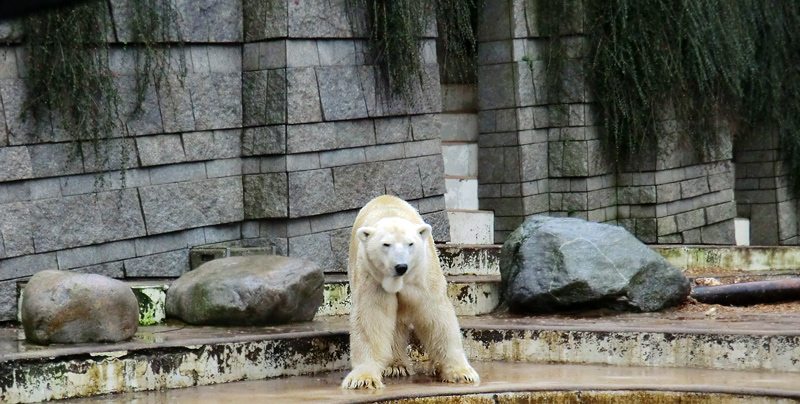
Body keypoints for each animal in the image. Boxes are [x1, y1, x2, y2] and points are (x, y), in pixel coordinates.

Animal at [340, 194, 478, 390]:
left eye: (410, 244)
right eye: (386, 244)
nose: (401, 266)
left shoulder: (422, 276)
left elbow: (436, 316)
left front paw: (461, 373)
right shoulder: (371, 277)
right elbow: (371, 317)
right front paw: (363, 379)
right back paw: (396, 365)